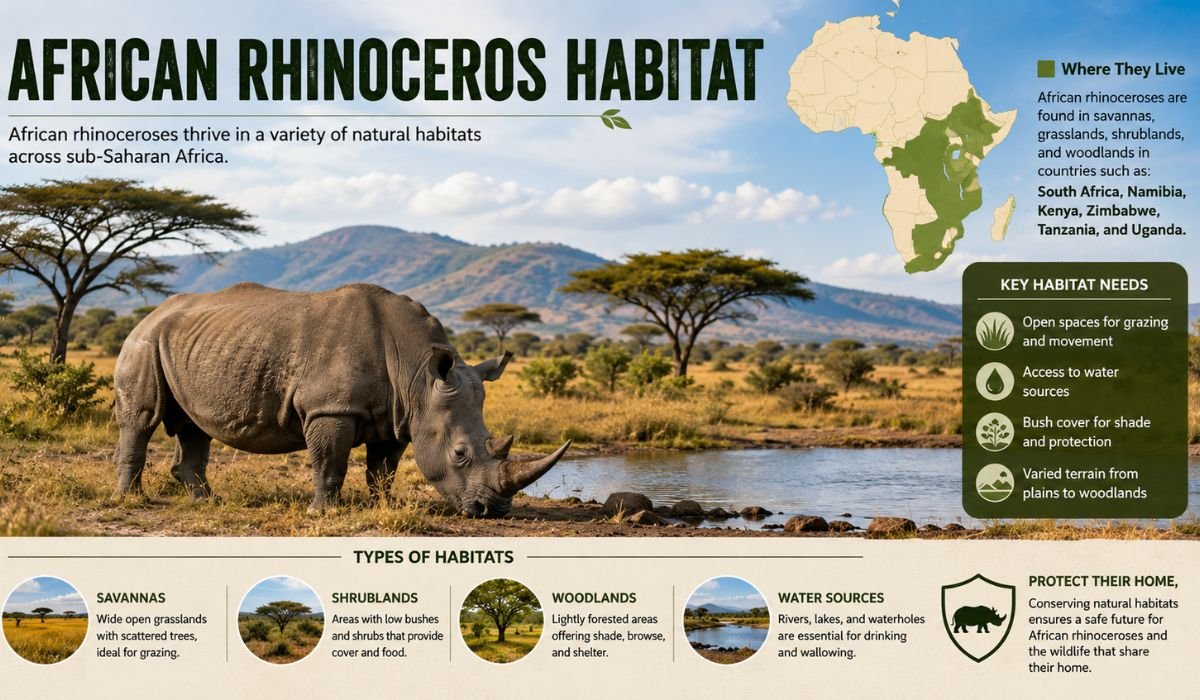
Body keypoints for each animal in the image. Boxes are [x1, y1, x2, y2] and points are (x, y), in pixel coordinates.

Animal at [112, 282, 569, 517]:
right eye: (460, 453)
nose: (492, 510)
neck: (418, 375)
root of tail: (149, 314)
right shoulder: (330, 408)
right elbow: (329, 463)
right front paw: (324, 514)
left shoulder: (400, 416)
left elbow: (382, 470)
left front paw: (382, 505)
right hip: (143, 343)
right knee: (141, 419)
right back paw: (130, 501)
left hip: (190, 345)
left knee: (193, 426)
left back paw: (207, 502)